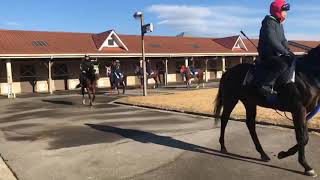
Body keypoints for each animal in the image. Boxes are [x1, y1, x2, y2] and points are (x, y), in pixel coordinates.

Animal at [212, 45, 320, 176]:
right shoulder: (298, 110)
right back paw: (223, 147)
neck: (307, 75)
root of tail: (227, 72)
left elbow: (305, 138)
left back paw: (262, 153)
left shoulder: (303, 112)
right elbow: (302, 138)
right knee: (224, 120)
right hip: (230, 100)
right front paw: (306, 166)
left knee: (250, 124)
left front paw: (283, 154)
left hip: (250, 103)